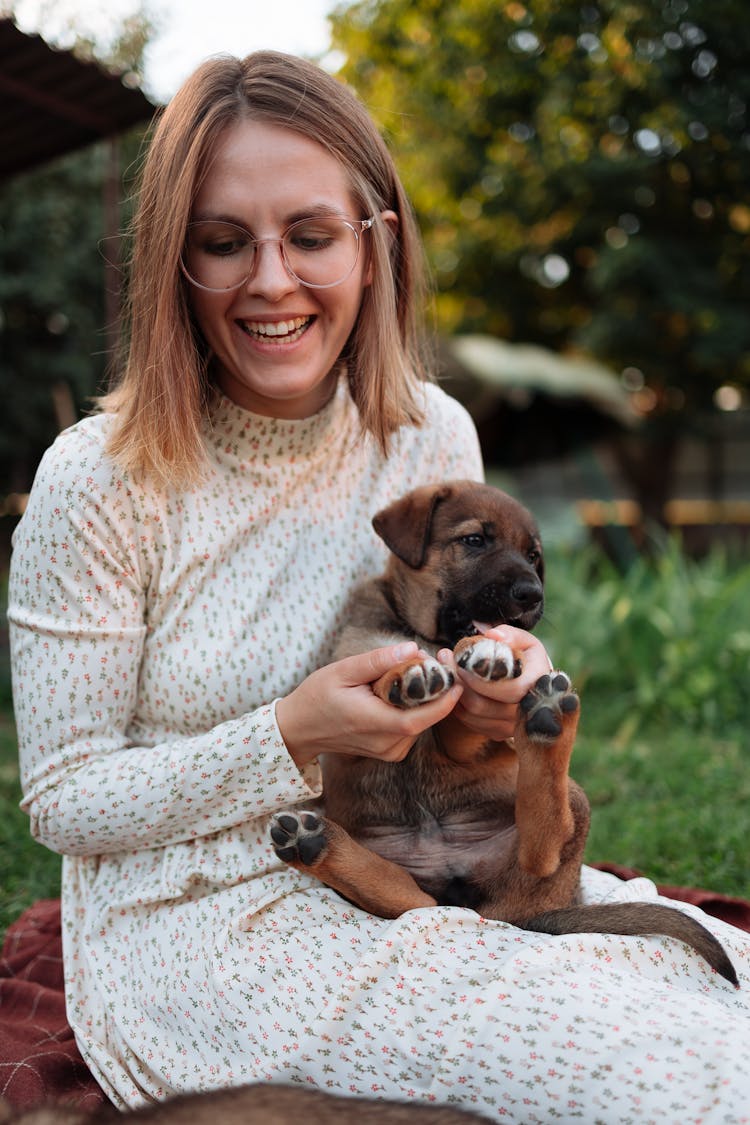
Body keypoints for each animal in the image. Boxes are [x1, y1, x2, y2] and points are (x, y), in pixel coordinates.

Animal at [270, 479, 737, 990]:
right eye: (474, 540)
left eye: (534, 556)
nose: (531, 594)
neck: (428, 634)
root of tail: (500, 911)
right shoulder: (357, 699)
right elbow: (392, 665)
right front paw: (413, 672)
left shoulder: (462, 741)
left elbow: (462, 707)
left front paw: (485, 652)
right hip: (396, 869)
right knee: (412, 902)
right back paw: (316, 844)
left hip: (569, 807)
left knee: (539, 853)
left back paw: (547, 721)